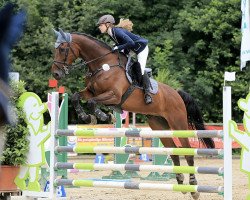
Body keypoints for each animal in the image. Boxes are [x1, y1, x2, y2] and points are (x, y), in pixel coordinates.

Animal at [51, 28, 215, 199]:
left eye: (62, 49)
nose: (55, 74)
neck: (103, 65)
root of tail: (177, 94)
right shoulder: (90, 92)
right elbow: (76, 97)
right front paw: (87, 117)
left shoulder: (114, 95)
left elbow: (92, 103)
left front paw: (103, 116)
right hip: (159, 125)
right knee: (174, 152)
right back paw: (181, 183)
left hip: (178, 123)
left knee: (187, 152)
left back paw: (194, 188)